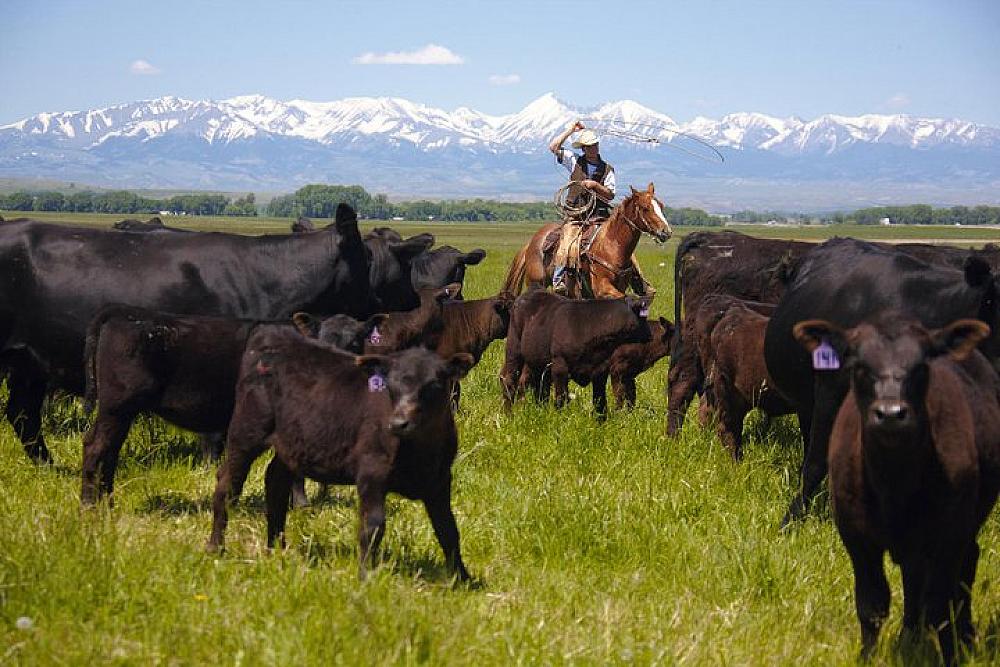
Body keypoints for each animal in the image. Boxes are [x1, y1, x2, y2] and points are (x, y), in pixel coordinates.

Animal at [0, 203, 374, 464]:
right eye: (370, 258)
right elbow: (216, 429)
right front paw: (210, 465)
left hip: (29, 361)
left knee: (22, 414)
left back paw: (51, 466)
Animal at [207, 329, 475, 581]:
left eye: (433, 385)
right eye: (390, 385)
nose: (398, 423)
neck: (421, 452)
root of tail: (271, 334)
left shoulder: (440, 481)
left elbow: (448, 529)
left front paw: (463, 578)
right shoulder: (371, 473)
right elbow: (373, 526)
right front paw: (365, 575)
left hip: (290, 443)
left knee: (275, 485)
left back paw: (276, 550)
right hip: (246, 431)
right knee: (227, 485)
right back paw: (216, 548)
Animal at [501, 291, 654, 417]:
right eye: (643, 317)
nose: (650, 335)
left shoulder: (600, 370)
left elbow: (600, 401)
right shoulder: (560, 366)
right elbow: (561, 398)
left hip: (537, 362)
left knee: (538, 387)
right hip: (514, 348)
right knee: (510, 380)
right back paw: (509, 415)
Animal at [502, 183, 672, 299]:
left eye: (661, 205)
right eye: (645, 208)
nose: (666, 232)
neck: (610, 246)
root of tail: (531, 243)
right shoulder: (602, 289)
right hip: (536, 282)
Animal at [794, 314, 1000, 664]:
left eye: (922, 365)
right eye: (859, 364)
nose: (890, 413)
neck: (894, 484)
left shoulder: (948, 534)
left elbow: (940, 604)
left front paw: (950, 655)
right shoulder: (856, 537)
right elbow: (871, 605)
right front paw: (866, 657)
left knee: (963, 570)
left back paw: (964, 635)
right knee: (916, 582)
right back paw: (910, 637)